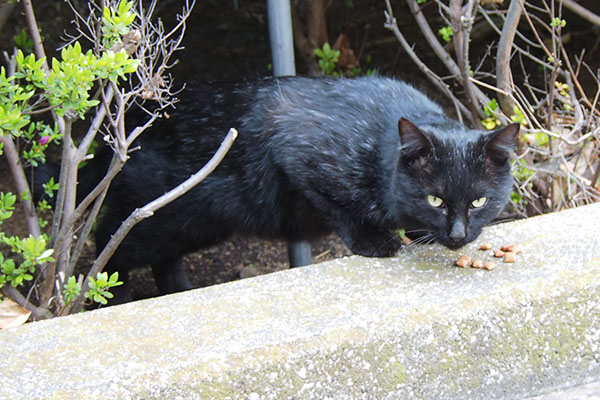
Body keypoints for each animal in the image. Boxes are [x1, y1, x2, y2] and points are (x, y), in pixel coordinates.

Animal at [76, 76, 516, 304]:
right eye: (436, 199)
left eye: (479, 201)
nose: (457, 234)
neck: (378, 143)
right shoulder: (296, 154)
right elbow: (338, 207)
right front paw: (376, 241)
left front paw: (417, 231)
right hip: (166, 217)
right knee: (109, 243)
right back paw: (106, 297)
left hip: (193, 227)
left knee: (162, 259)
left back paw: (178, 291)